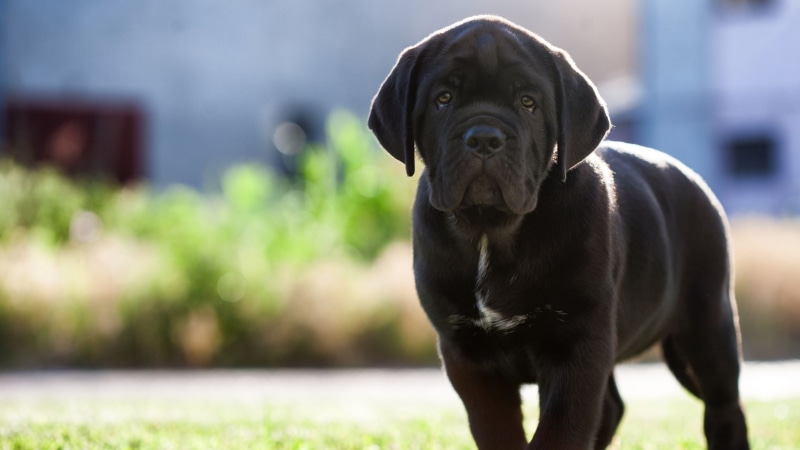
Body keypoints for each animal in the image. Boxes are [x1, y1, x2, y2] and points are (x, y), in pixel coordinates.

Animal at [368, 14, 752, 450]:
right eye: (444, 98)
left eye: (528, 103)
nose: (484, 137)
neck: (490, 231)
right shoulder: (466, 352)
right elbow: (499, 431)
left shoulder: (577, 342)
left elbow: (561, 429)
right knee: (613, 407)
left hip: (708, 323)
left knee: (724, 406)